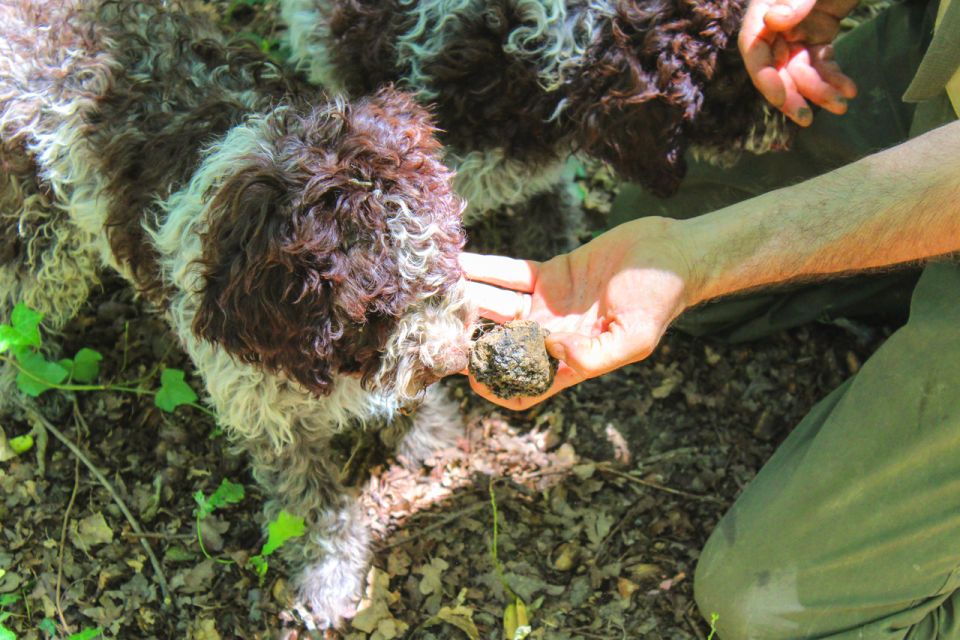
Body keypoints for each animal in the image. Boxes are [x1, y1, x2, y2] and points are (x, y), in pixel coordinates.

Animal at [1, 0, 474, 632]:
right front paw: (329, 574)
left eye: (444, 252)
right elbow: (313, 503)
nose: (450, 360)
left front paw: (428, 426)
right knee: (22, 297)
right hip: (45, 231)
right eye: (373, 309)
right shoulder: (264, 410)